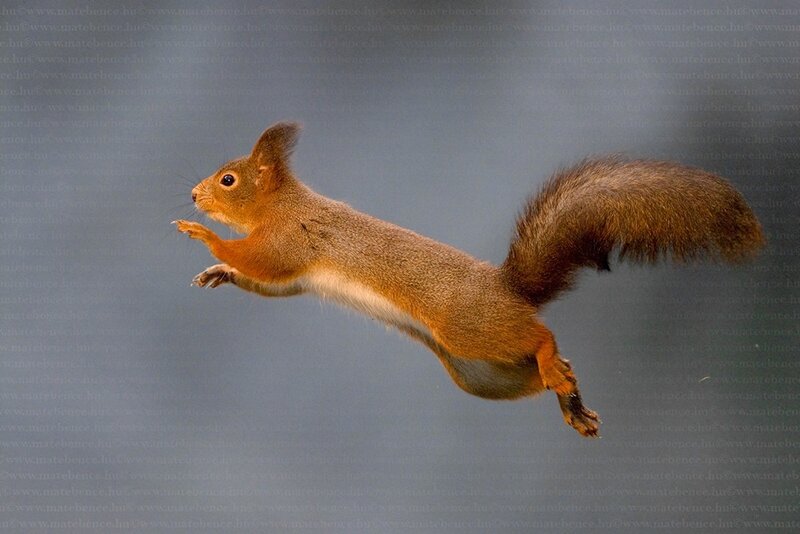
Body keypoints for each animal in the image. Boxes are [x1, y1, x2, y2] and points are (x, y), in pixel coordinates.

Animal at [175, 121, 764, 437]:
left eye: (228, 180)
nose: (193, 194)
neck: (283, 206)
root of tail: (512, 291)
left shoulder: (288, 241)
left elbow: (260, 262)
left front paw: (202, 237)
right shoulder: (291, 271)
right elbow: (270, 284)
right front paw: (218, 271)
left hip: (470, 329)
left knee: (541, 336)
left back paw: (555, 366)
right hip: (479, 372)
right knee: (547, 367)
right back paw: (570, 399)